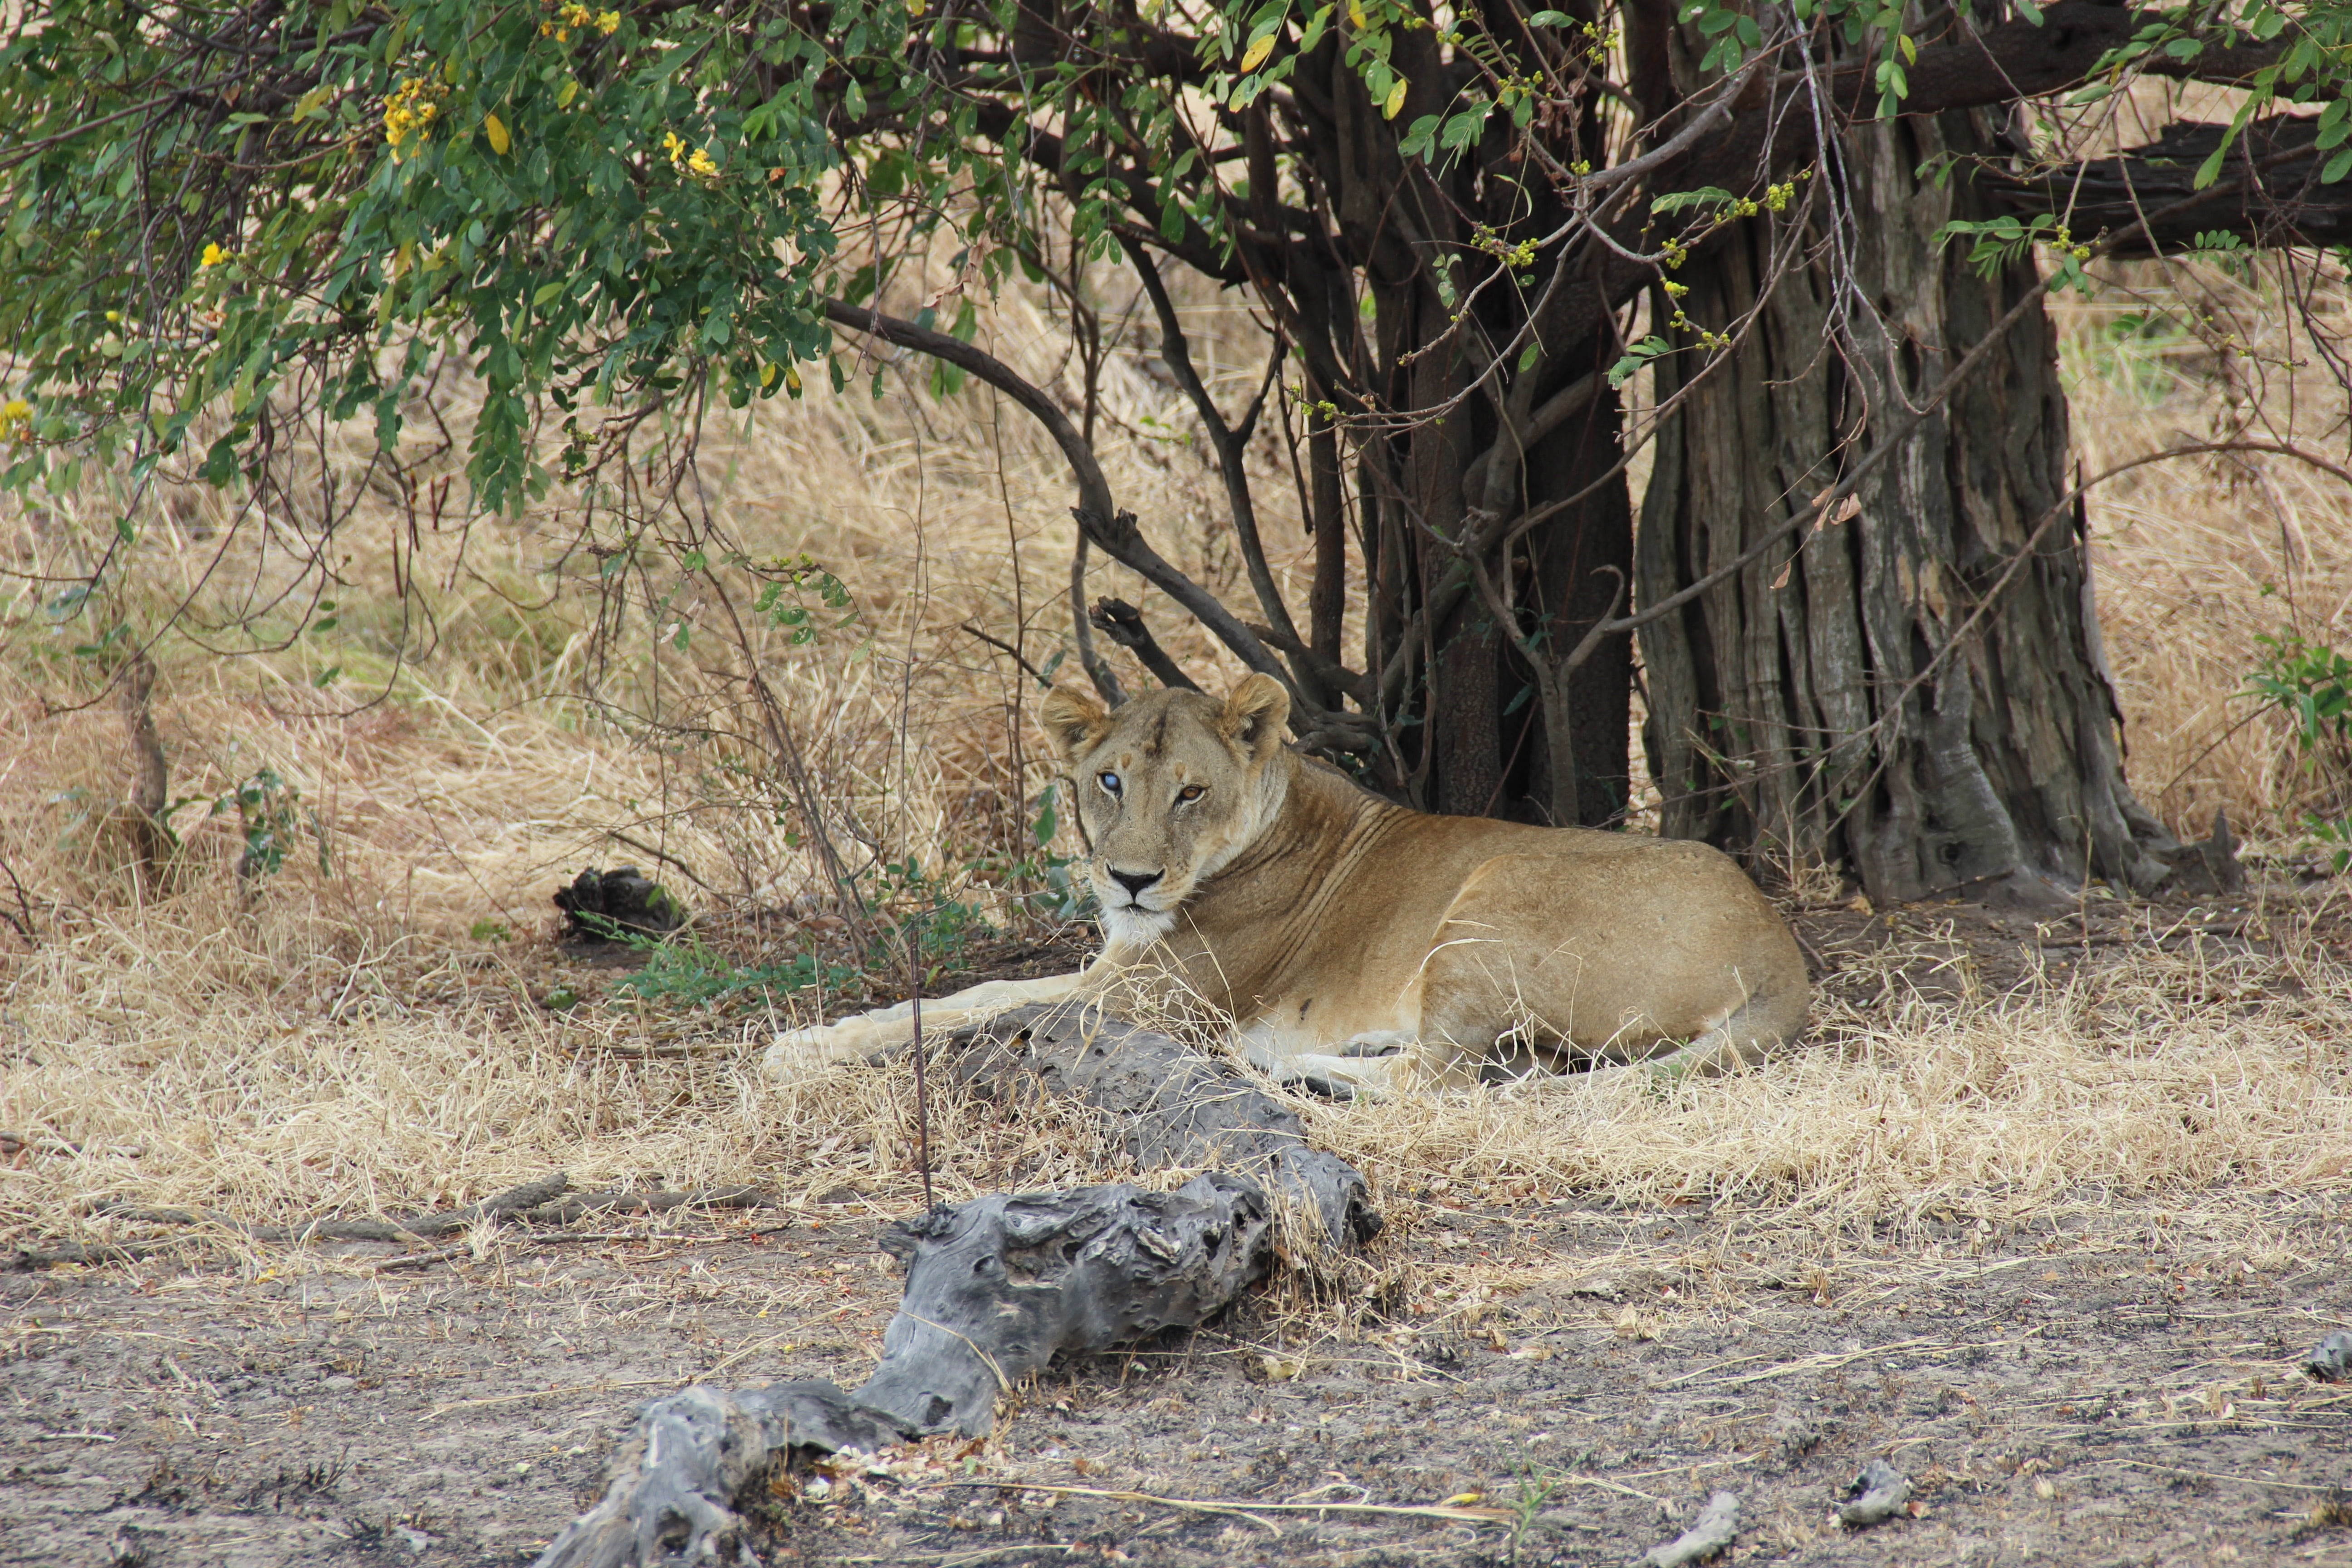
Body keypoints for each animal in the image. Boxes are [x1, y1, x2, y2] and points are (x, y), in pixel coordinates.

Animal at [765, 674, 1810, 1097]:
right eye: (1109, 780)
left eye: (1190, 790)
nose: (1131, 880)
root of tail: (1781, 953)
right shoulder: (1117, 968)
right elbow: (973, 992)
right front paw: (809, 1038)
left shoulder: (1155, 1002)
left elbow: (988, 1011)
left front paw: (801, 1050)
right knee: (1485, 1067)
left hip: (1495, 888)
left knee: (1445, 1082)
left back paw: (1294, 1066)